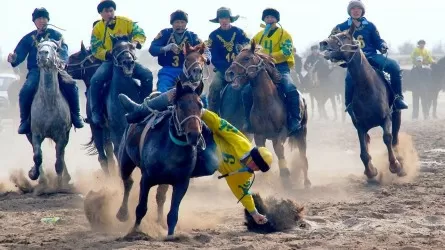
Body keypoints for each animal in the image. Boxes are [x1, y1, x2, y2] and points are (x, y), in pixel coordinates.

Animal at [26, 39, 72, 187]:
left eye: (55, 48)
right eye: (39, 46)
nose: (43, 53)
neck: (49, 103)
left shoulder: (62, 135)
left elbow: (59, 161)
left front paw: (59, 184)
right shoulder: (35, 134)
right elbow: (37, 156)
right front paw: (33, 174)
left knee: (61, 155)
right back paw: (42, 179)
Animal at [224, 40, 310, 188]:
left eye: (246, 58)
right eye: (236, 57)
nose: (229, 73)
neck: (266, 103)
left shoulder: (281, 133)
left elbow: (279, 149)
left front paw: (285, 174)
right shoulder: (259, 136)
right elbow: (262, 151)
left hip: (301, 132)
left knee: (303, 156)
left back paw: (306, 182)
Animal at [320, 23, 406, 180]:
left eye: (344, 36)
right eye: (333, 35)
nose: (323, 43)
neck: (367, 87)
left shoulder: (386, 118)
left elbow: (387, 137)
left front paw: (395, 165)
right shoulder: (360, 125)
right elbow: (363, 152)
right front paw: (370, 171)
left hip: (397, 114)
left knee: (395, 138)